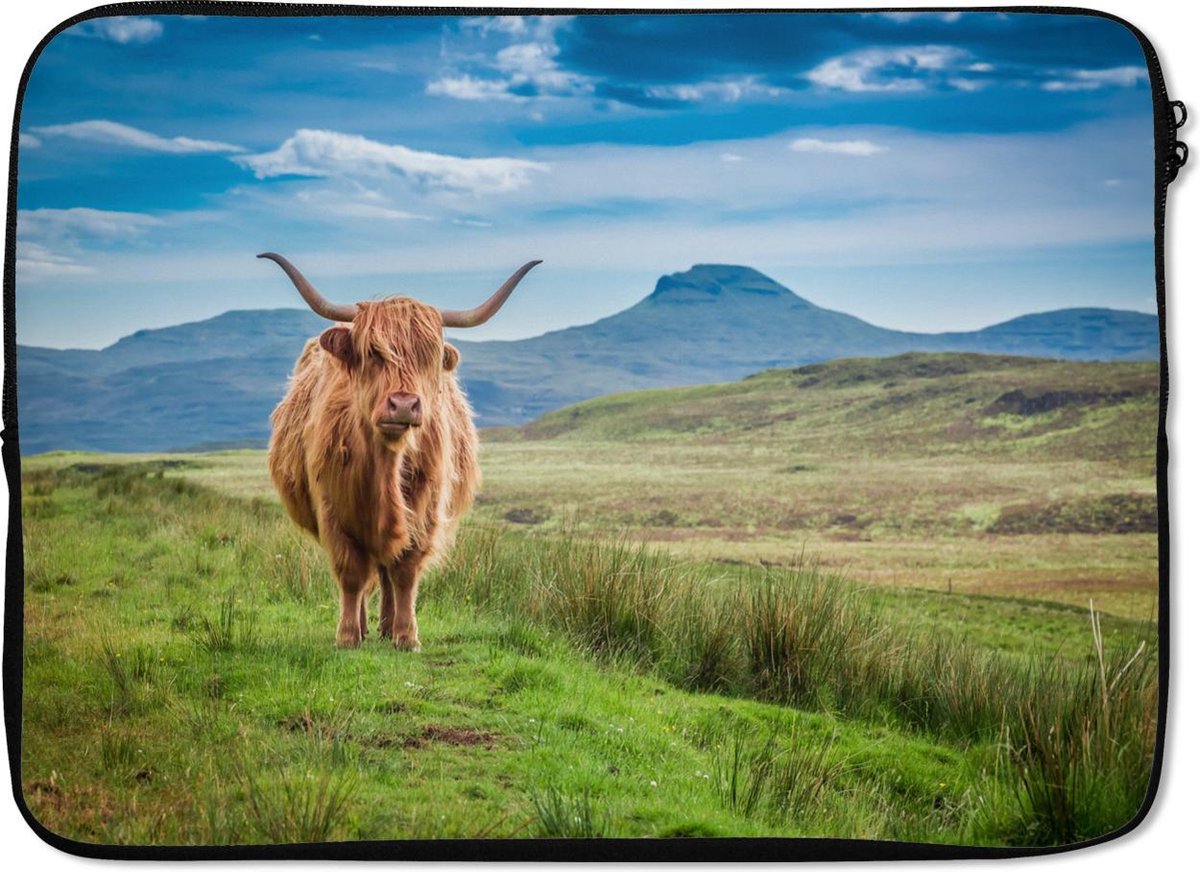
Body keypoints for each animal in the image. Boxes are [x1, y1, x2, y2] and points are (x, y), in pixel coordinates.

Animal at [259, 252, 540, 650]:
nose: (404, 405)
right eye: (373, 353)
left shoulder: (425, 511)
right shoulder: (332, 510)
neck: (385, 466)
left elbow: (405, 572)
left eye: (429, 357)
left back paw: (387, 625)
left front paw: (407, 636)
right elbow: (351, 574)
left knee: (386, 571)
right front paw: (348, 636)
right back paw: (365, 626)